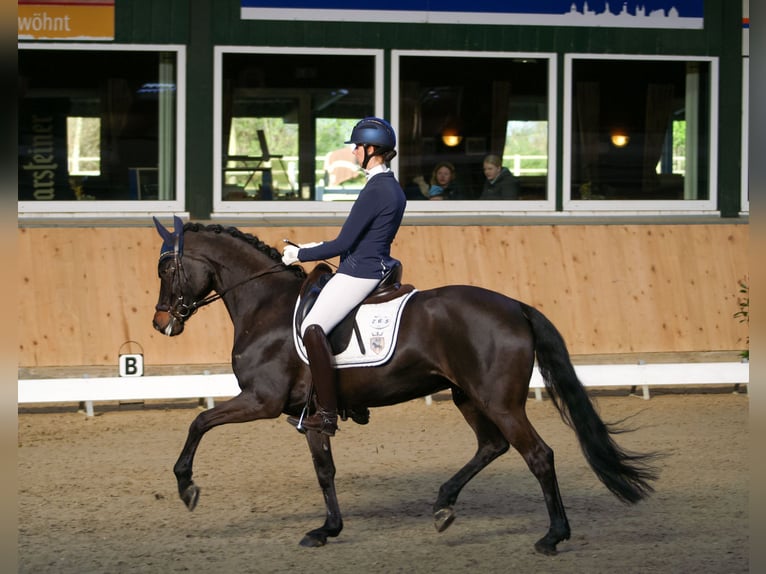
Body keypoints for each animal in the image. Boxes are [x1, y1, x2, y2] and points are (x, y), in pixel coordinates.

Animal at [152, 217, 660, 560]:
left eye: (166, 270)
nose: (161, 323)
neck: (267, 307)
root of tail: (515, 306)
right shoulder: (311, 415)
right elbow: (324, 470)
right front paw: (327, 529)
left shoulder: (261, 400)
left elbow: (199, 421)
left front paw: (185, 485)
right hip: (466, 395)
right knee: (492, 445)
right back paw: (443, 504)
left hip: (499, 401)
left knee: (538, 455)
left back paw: (552, 536)